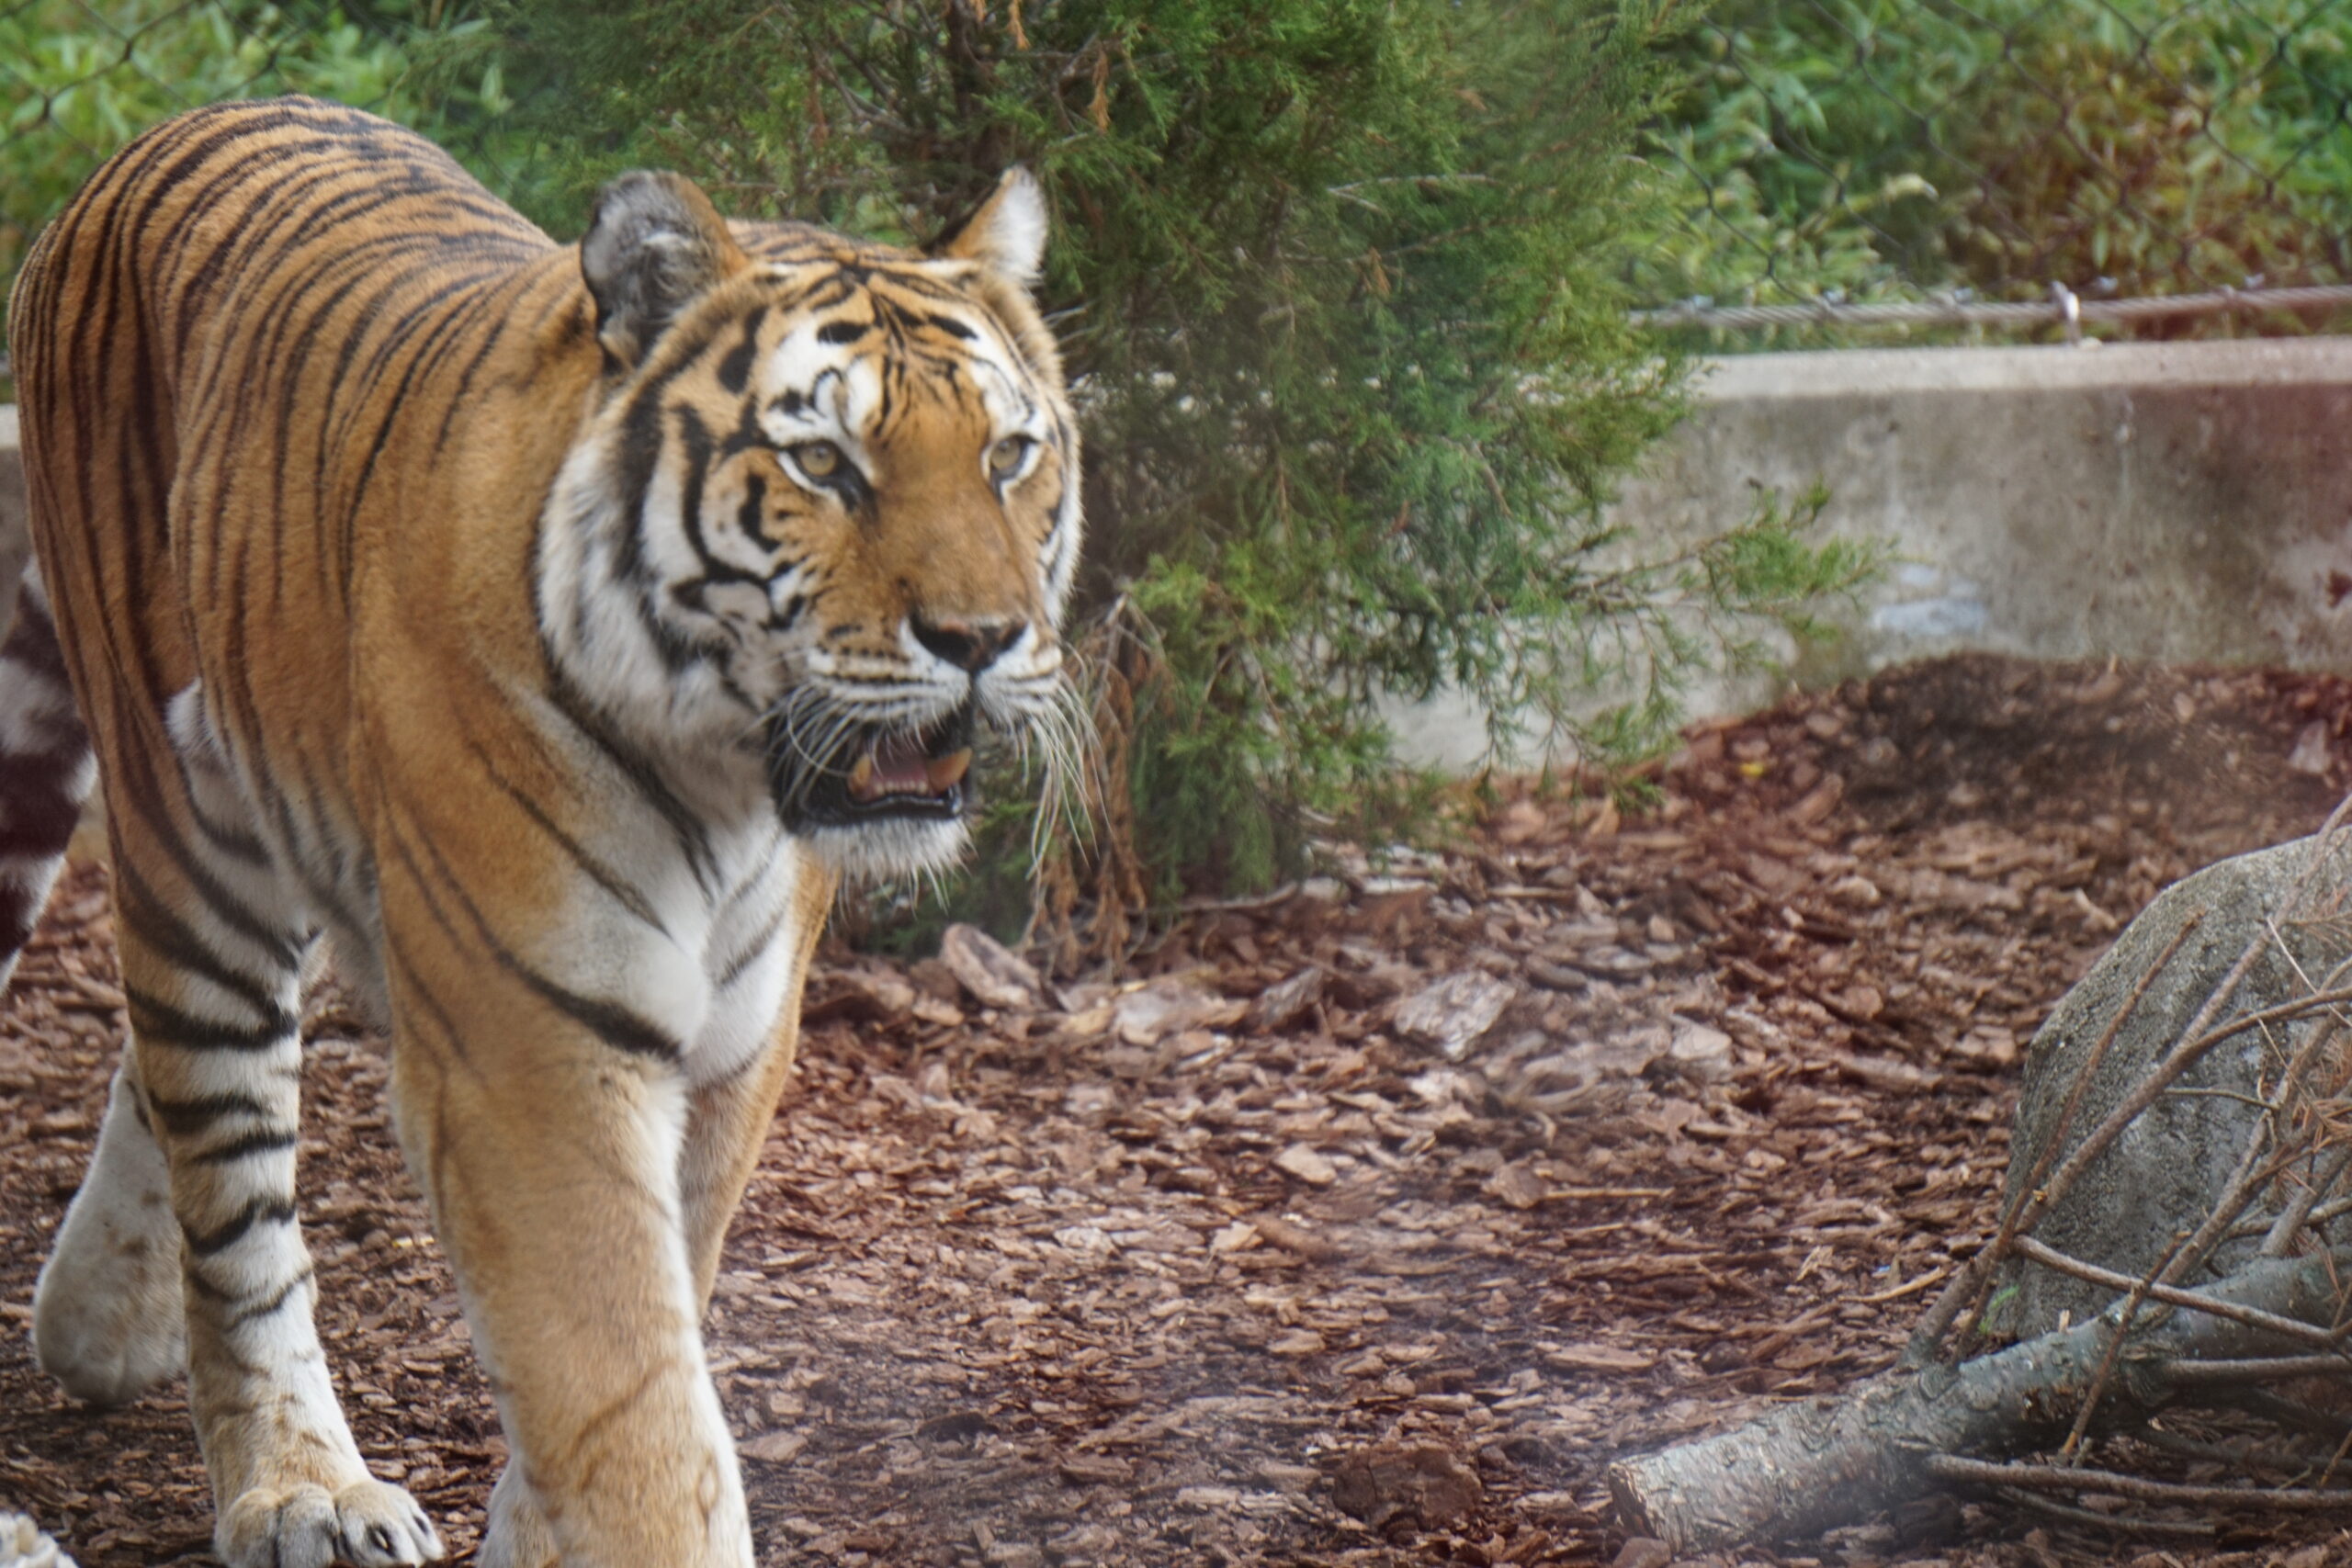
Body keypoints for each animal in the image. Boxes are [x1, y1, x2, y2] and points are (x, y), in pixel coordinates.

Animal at [0, 95, 1080, 1567]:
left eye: (1007, 455)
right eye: (823, 463)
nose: (983, 640)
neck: (729, 789)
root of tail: (177, 126)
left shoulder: (737, 1048)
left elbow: (640, 1344)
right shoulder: (533, 1048)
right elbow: (630, 1400)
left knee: (158, 1068)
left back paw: (105, 1320)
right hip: (185, 833)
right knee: (232, 1175)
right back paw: (299, 1485)